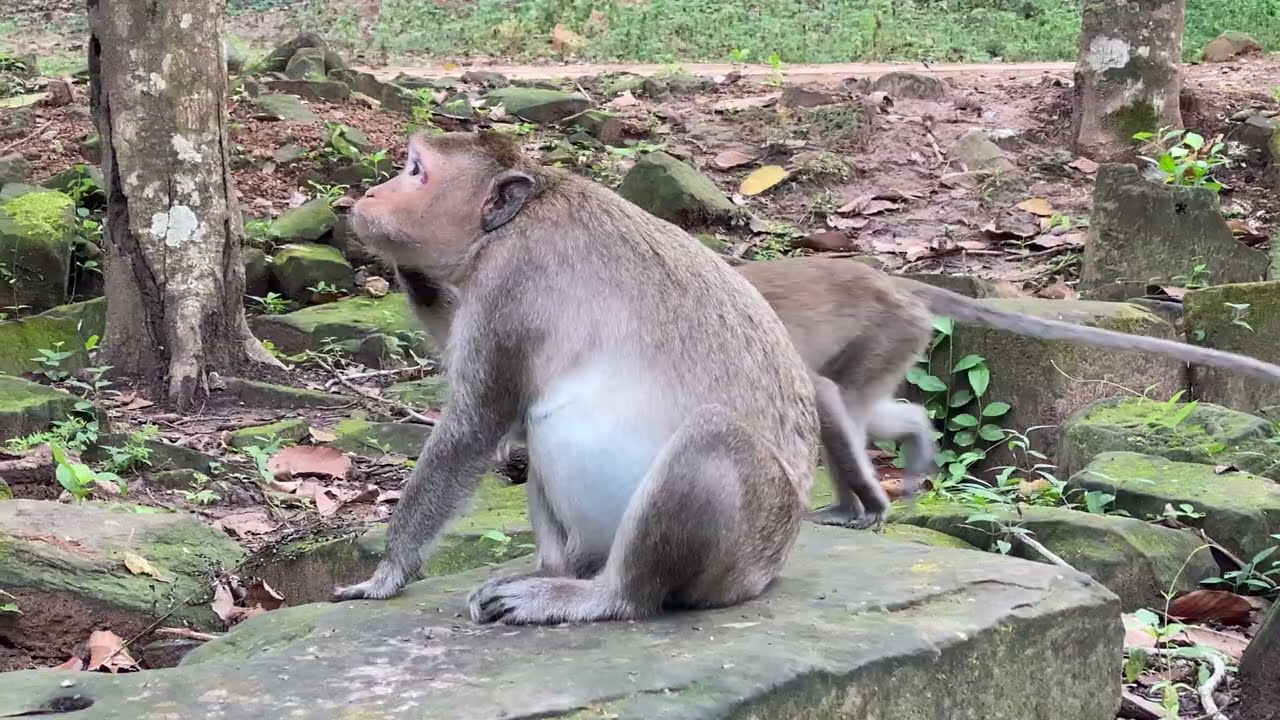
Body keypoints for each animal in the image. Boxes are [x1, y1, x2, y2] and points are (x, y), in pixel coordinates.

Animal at [330, 130, 821, 628]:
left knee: (711, 435)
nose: (371, 194)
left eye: (416, 171)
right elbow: (513, 423)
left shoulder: (508, 283)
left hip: (746, 541)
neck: (512, 222)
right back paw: (552, 572)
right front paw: (413, 274)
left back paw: (602, 596)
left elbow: (476, 425)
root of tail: (767, 568)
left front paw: (388, 572)